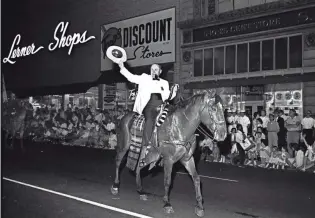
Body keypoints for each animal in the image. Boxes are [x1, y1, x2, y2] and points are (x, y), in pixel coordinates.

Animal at [110, 88, 226, 216]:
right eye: (213, 108)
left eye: (223, 109)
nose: (223, 134)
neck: (179, 127)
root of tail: (124, 117)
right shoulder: (168, 160)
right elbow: (167, 181)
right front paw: (167, 204)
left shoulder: (187, 159)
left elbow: (196, 179)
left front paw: (200, 206)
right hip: (124, 145)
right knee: (118, 161)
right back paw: (115, 186)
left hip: (144, 149)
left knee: (138, 167)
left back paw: (141, 191)